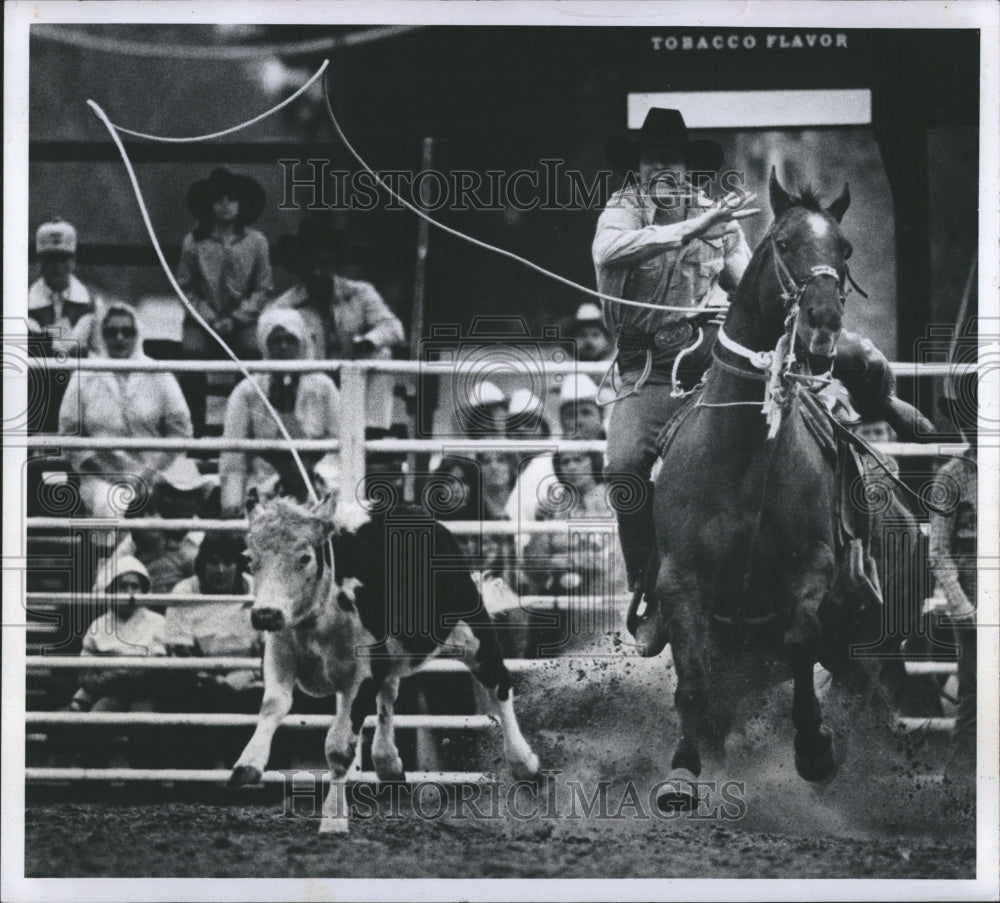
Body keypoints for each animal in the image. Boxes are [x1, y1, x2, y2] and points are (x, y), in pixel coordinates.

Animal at [229, 490, 540, 836]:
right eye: (250, 558)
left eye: (305, 557)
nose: (265, 614)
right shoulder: (279, 653)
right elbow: (274, 704)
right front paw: (248, 763)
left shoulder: (361, 675)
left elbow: (339, 748)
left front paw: (333, 819)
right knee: (389, 693)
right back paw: (387, 760)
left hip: (473, 630)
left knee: (499, 683)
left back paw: (523, 762)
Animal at [648, 170, 920, 812]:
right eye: (784, 242)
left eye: (844, 249)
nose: (822, 322)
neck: (742, 456)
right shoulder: (680, 579)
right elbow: (692, 680)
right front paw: (683, 770)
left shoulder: (812, 569)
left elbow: (800, 638)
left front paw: (814, 748)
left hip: (882, 638)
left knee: (869, 691)